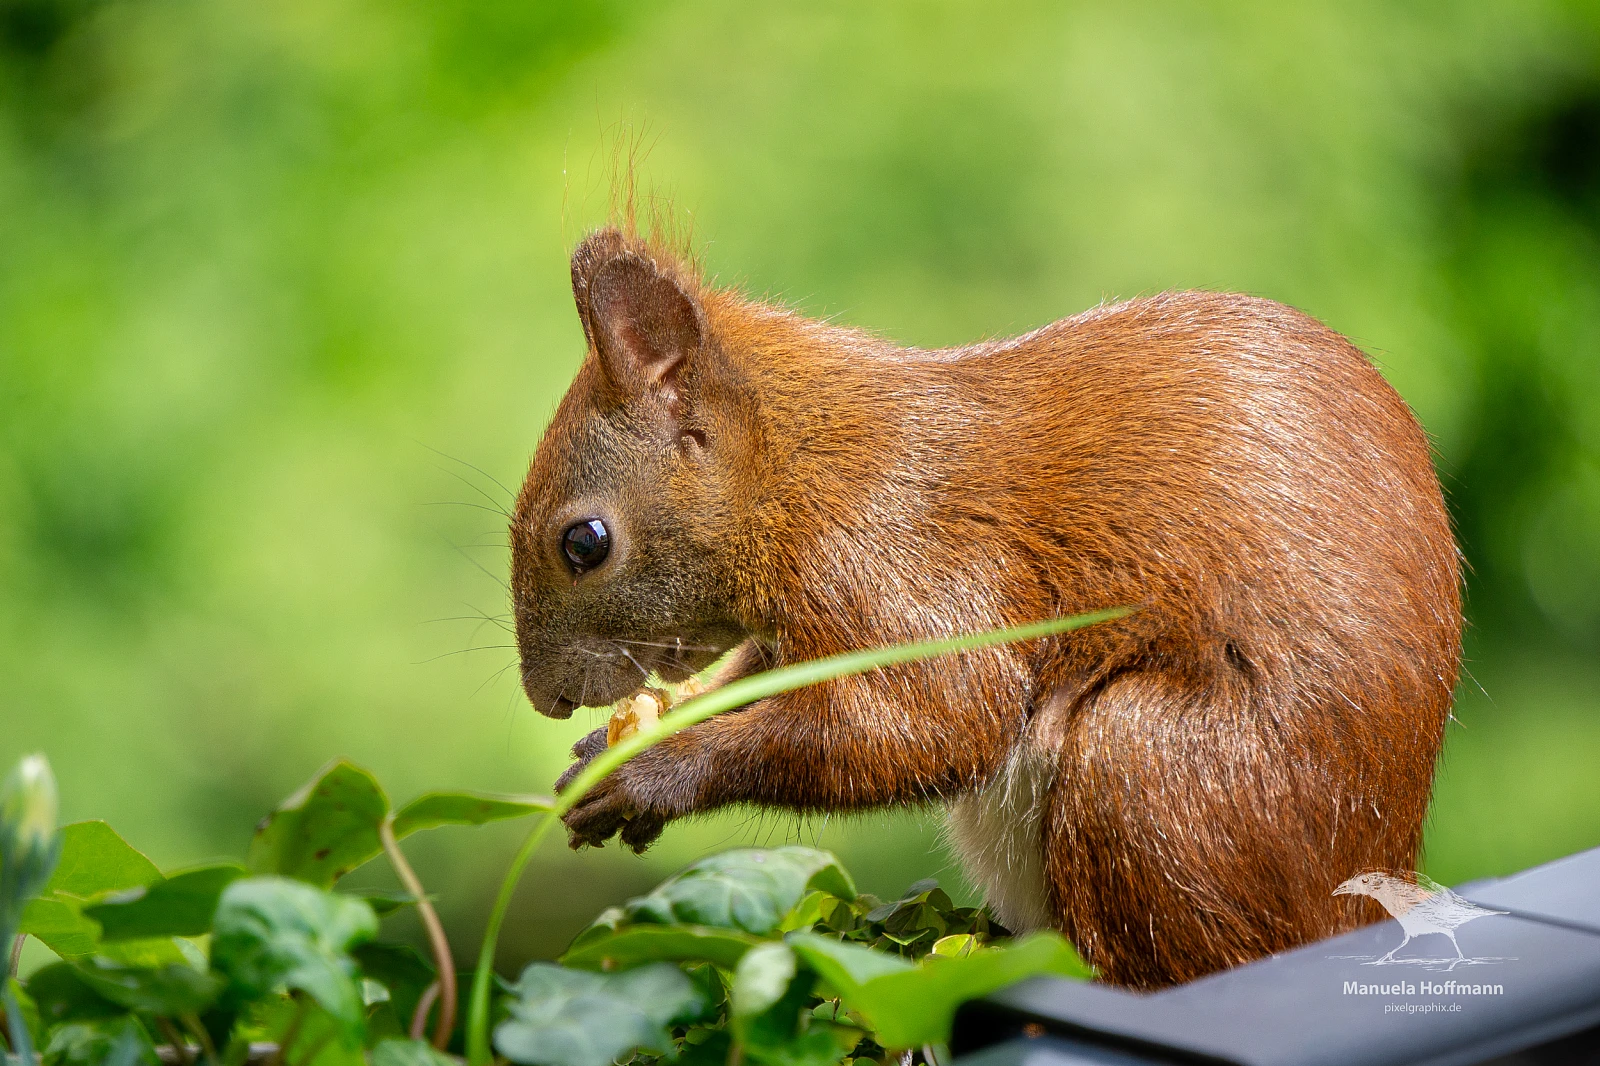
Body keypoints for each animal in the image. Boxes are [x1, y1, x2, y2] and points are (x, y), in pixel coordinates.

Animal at [508, 225, 1462, 990]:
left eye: (584, 543)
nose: (546, 700)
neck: (803, 465)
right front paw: (603, 754)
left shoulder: (899, 556)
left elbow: (933, 719)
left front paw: (645, 773)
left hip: (1153, 775)